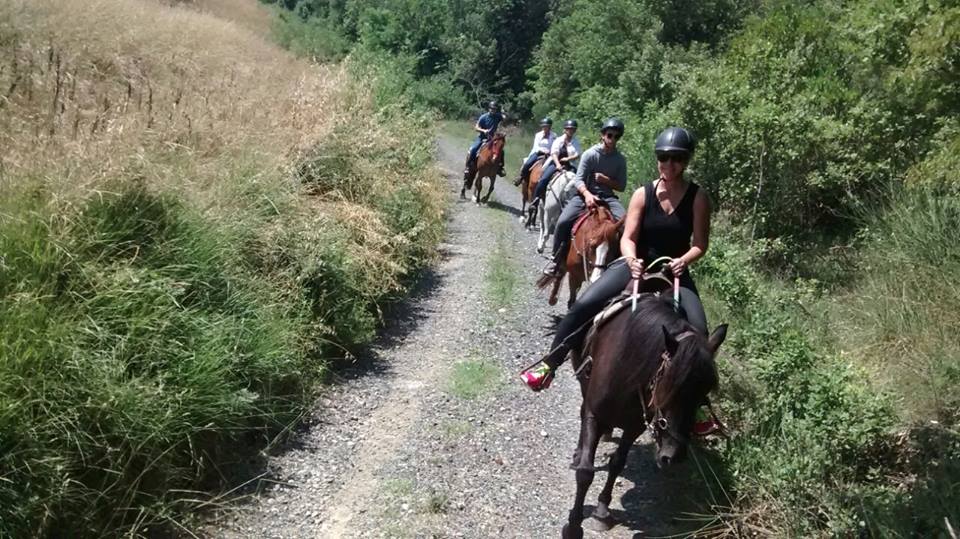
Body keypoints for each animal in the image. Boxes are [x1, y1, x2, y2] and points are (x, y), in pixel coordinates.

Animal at [564, 296, 728, 539]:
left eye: (703, 395)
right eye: (669, 387)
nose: (673, 456)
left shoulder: (634, 426)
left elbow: (617, 464)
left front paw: (602, 512)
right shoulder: (594, 414)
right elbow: (585, 472)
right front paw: (573, 526)